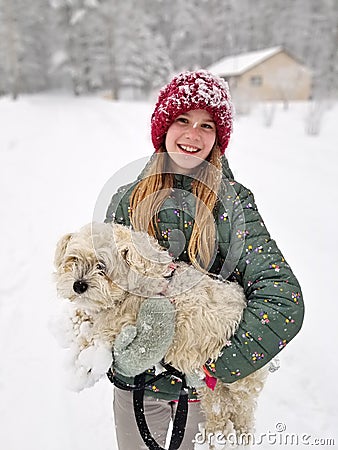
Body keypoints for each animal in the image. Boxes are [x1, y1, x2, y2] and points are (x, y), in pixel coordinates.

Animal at [54, 221, 266, 442]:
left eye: (101, 266)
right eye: (74, 259)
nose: (78, 285)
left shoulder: (118, 323)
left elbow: (92, 335)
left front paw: (81, 365)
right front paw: (70, 322)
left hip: (235, 385)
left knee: (235, 415)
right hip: (213, 390)